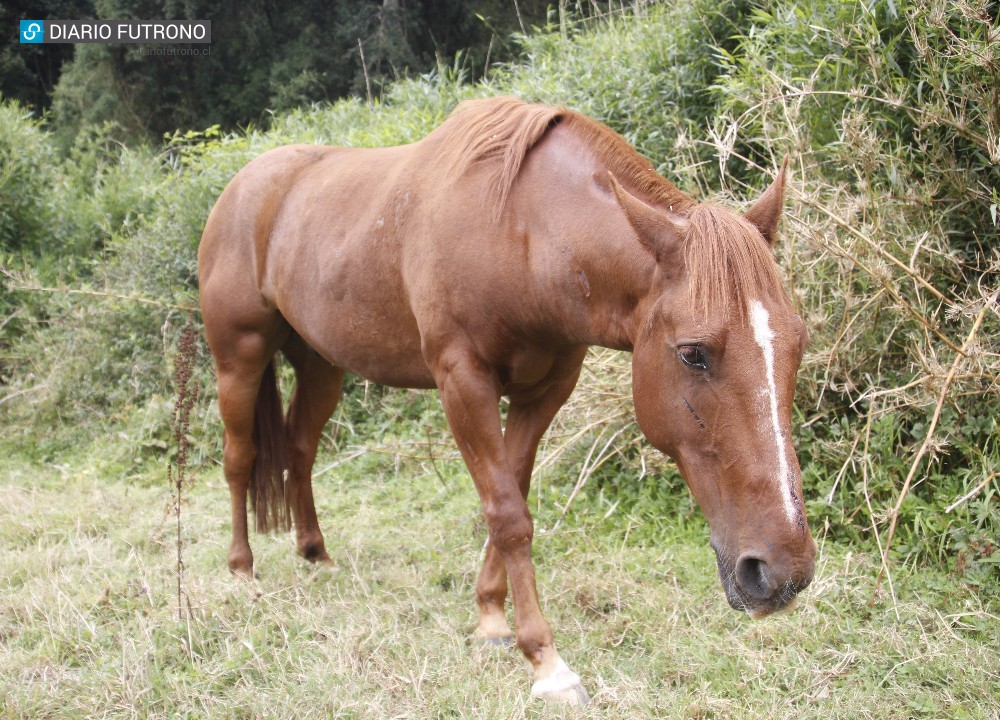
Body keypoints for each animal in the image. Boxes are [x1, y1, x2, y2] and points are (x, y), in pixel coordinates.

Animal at [199, 95, 816, 704]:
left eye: (798, 341)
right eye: (693, 353)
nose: (783, 572)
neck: (519, 231)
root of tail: (241, 187)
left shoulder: (545, 390)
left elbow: (512, 491)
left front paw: (491, 617)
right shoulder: (463, 381)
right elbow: (508, 514)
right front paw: (546, 662)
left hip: (321, 365)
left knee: (300, 451)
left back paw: (316, 555)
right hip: (239, 358)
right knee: (239, 459)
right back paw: (242, 572)